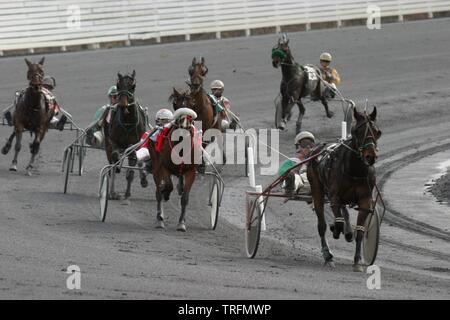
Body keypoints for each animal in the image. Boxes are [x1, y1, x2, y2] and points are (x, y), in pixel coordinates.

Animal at [102, 71, 146, 199]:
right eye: (118, 85)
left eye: (133, 86)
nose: (122, 104)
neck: (127, 123)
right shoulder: (112, 141)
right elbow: (114, 158)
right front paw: (113, 192)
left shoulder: (135, 143)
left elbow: (132, 164)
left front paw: (127, 193)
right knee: (112, 161)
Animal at [306, 106, 384, 272]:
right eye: (357, 131)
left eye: (377, 131)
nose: (371, 156)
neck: (355, 170)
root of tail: (317, 149)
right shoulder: (335, 197)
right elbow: (337, 222)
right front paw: (335, 229)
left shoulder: (365, 200)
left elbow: (360, 231)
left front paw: (358, 261)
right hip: (317, 190)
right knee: (321, 224)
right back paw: (328, 255)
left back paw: (347, 233)